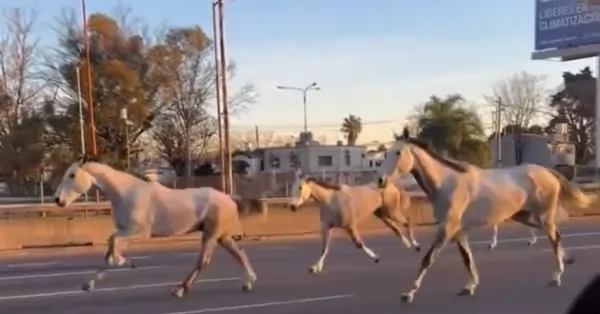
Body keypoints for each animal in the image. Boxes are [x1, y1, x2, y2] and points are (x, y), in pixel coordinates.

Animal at [52, 156, 266, 298]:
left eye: (72, 175)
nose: (58, 200)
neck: (126, 193)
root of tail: (230, 198)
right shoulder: (124, 231)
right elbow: (110, 248)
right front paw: (88, 284)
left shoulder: (138, 232)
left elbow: (113, 245)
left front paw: (123, 262)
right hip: (221, 236)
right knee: (240, 254)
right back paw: (249, 283)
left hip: (211, 235)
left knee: (203, 261)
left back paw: (180, 289)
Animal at [288, 172, 420, 274]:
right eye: (292, 187)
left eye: (300, 187)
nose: (292, 207)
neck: (331, 201)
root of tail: (391, 185)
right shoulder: (327, 227)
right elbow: (324, 248)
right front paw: (315, 268)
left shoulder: (349, 226)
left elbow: (359, 244)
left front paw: (376, 257)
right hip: (382, 215)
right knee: (395, 228)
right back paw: (407, 243)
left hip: (391, 212)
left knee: (407, 221)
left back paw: (416, 245)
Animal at [378, 127, 592, 304]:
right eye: (386, 153)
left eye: (398, 152)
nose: (380, 180)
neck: (446, 183)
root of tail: (547, 172)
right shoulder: (458, 231)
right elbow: (467, 258)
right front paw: (470, 285)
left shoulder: (446, 228)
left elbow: (427, 259)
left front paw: (409, 293)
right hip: (524, 216)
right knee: (556, 234)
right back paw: (567, 259)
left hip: (543, 215)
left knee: (554, 238)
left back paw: (556, 276)